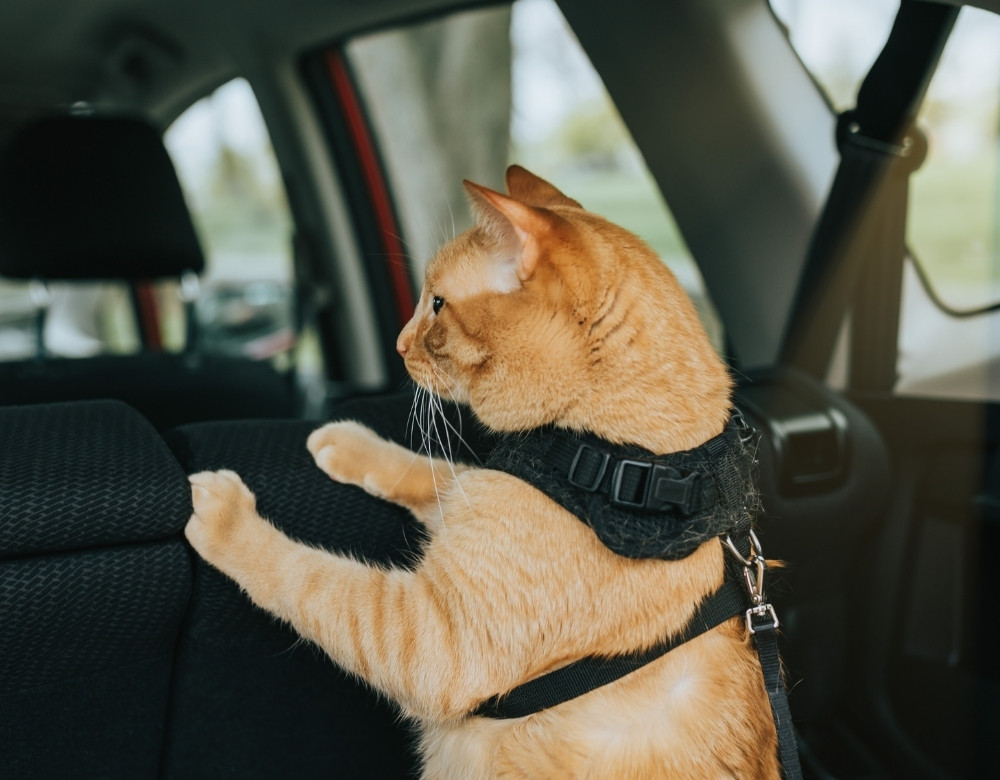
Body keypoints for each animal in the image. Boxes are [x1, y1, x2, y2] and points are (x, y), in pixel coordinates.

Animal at [188, 166, 780, 780]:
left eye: (437, 304)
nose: (398, 344)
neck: (620, 461)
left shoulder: (429, 639)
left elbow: (309, 577)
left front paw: (227, 519)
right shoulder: (478, 492)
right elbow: (430, 470)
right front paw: (346, 442)